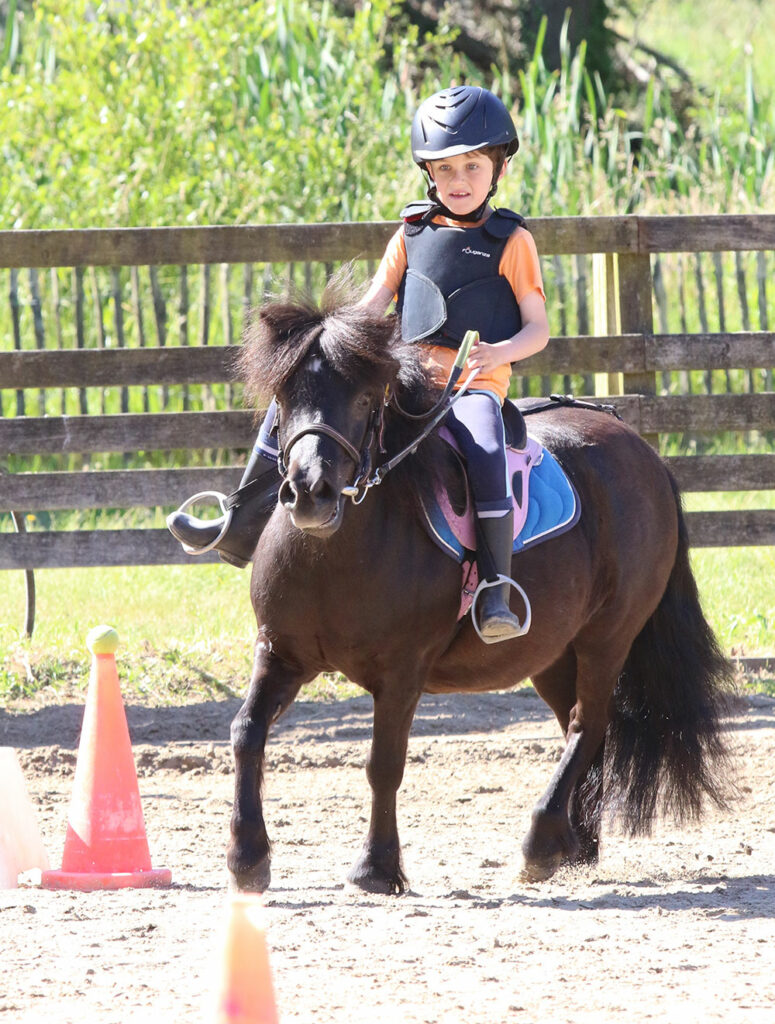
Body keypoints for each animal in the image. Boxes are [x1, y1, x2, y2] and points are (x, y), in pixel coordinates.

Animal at [225, 284, 733, 892]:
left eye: (368, 399)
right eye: (284, 394)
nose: (310, 492)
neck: (332, 556)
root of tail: (644, 451)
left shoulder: (402, 671)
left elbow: (383, 764)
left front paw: (376, 867)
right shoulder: (280, 652)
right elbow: (246, 731)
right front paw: (247, 857)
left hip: (609, 636)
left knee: (588, 725)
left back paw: (541, 842)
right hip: (554, 653)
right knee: (581, 727)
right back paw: (574, 844)